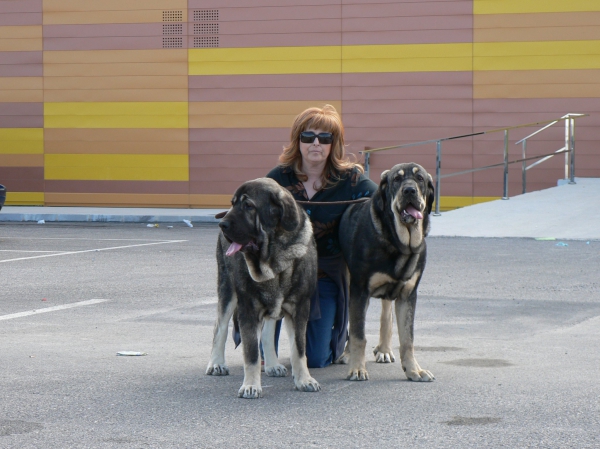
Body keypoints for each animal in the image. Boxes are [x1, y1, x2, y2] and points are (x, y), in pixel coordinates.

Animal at [205, 177, 322, 398]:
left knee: (268, 331)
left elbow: (299, 349)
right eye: (234, 203)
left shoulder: (300, 308)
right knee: (219, 327)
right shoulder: (248, 309)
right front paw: (251, 386)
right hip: (227, 290)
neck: (274, 257)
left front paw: (304, 380)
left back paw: (272, 364)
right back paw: (216, 363)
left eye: (248, 206)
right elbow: (250, 353)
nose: (222, 225)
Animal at [340, 163, 434, 380]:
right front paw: (357, 368)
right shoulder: (359, 290)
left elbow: (407, 339)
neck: (399, 242)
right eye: (397, 180)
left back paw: (383, 349)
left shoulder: (408, 295)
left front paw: (414, 370)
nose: (409, 190)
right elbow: (358, 334)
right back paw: (348, 354)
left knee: (385, 315)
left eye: (420, 179)